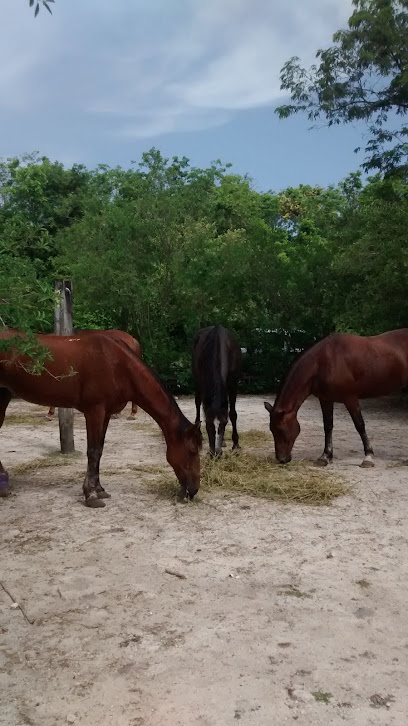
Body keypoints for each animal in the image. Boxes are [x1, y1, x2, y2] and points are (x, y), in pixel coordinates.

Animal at [0, 330, 202, 506]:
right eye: (192, 451)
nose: (193, 490)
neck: (117, 365)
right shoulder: (94, 411)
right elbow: (93, 451)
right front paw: (90, 494)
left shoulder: (106, 414)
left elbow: (100, 450)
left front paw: (99, 489)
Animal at [192, 324, 242, 456]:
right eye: (208, 424)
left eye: (224, 424)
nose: (215, 454)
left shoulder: (233, 384)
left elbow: (232, 414)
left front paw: (236, 444)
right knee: (197, 403)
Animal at [264, 328, 408, 466]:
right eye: (271, 430)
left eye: (280, 430)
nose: (282, 459)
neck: (324, 362)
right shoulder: (326, 400)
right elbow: (328, 426)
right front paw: (325, 457)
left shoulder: (350, 399)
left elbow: (360, 426)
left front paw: (368, 456)